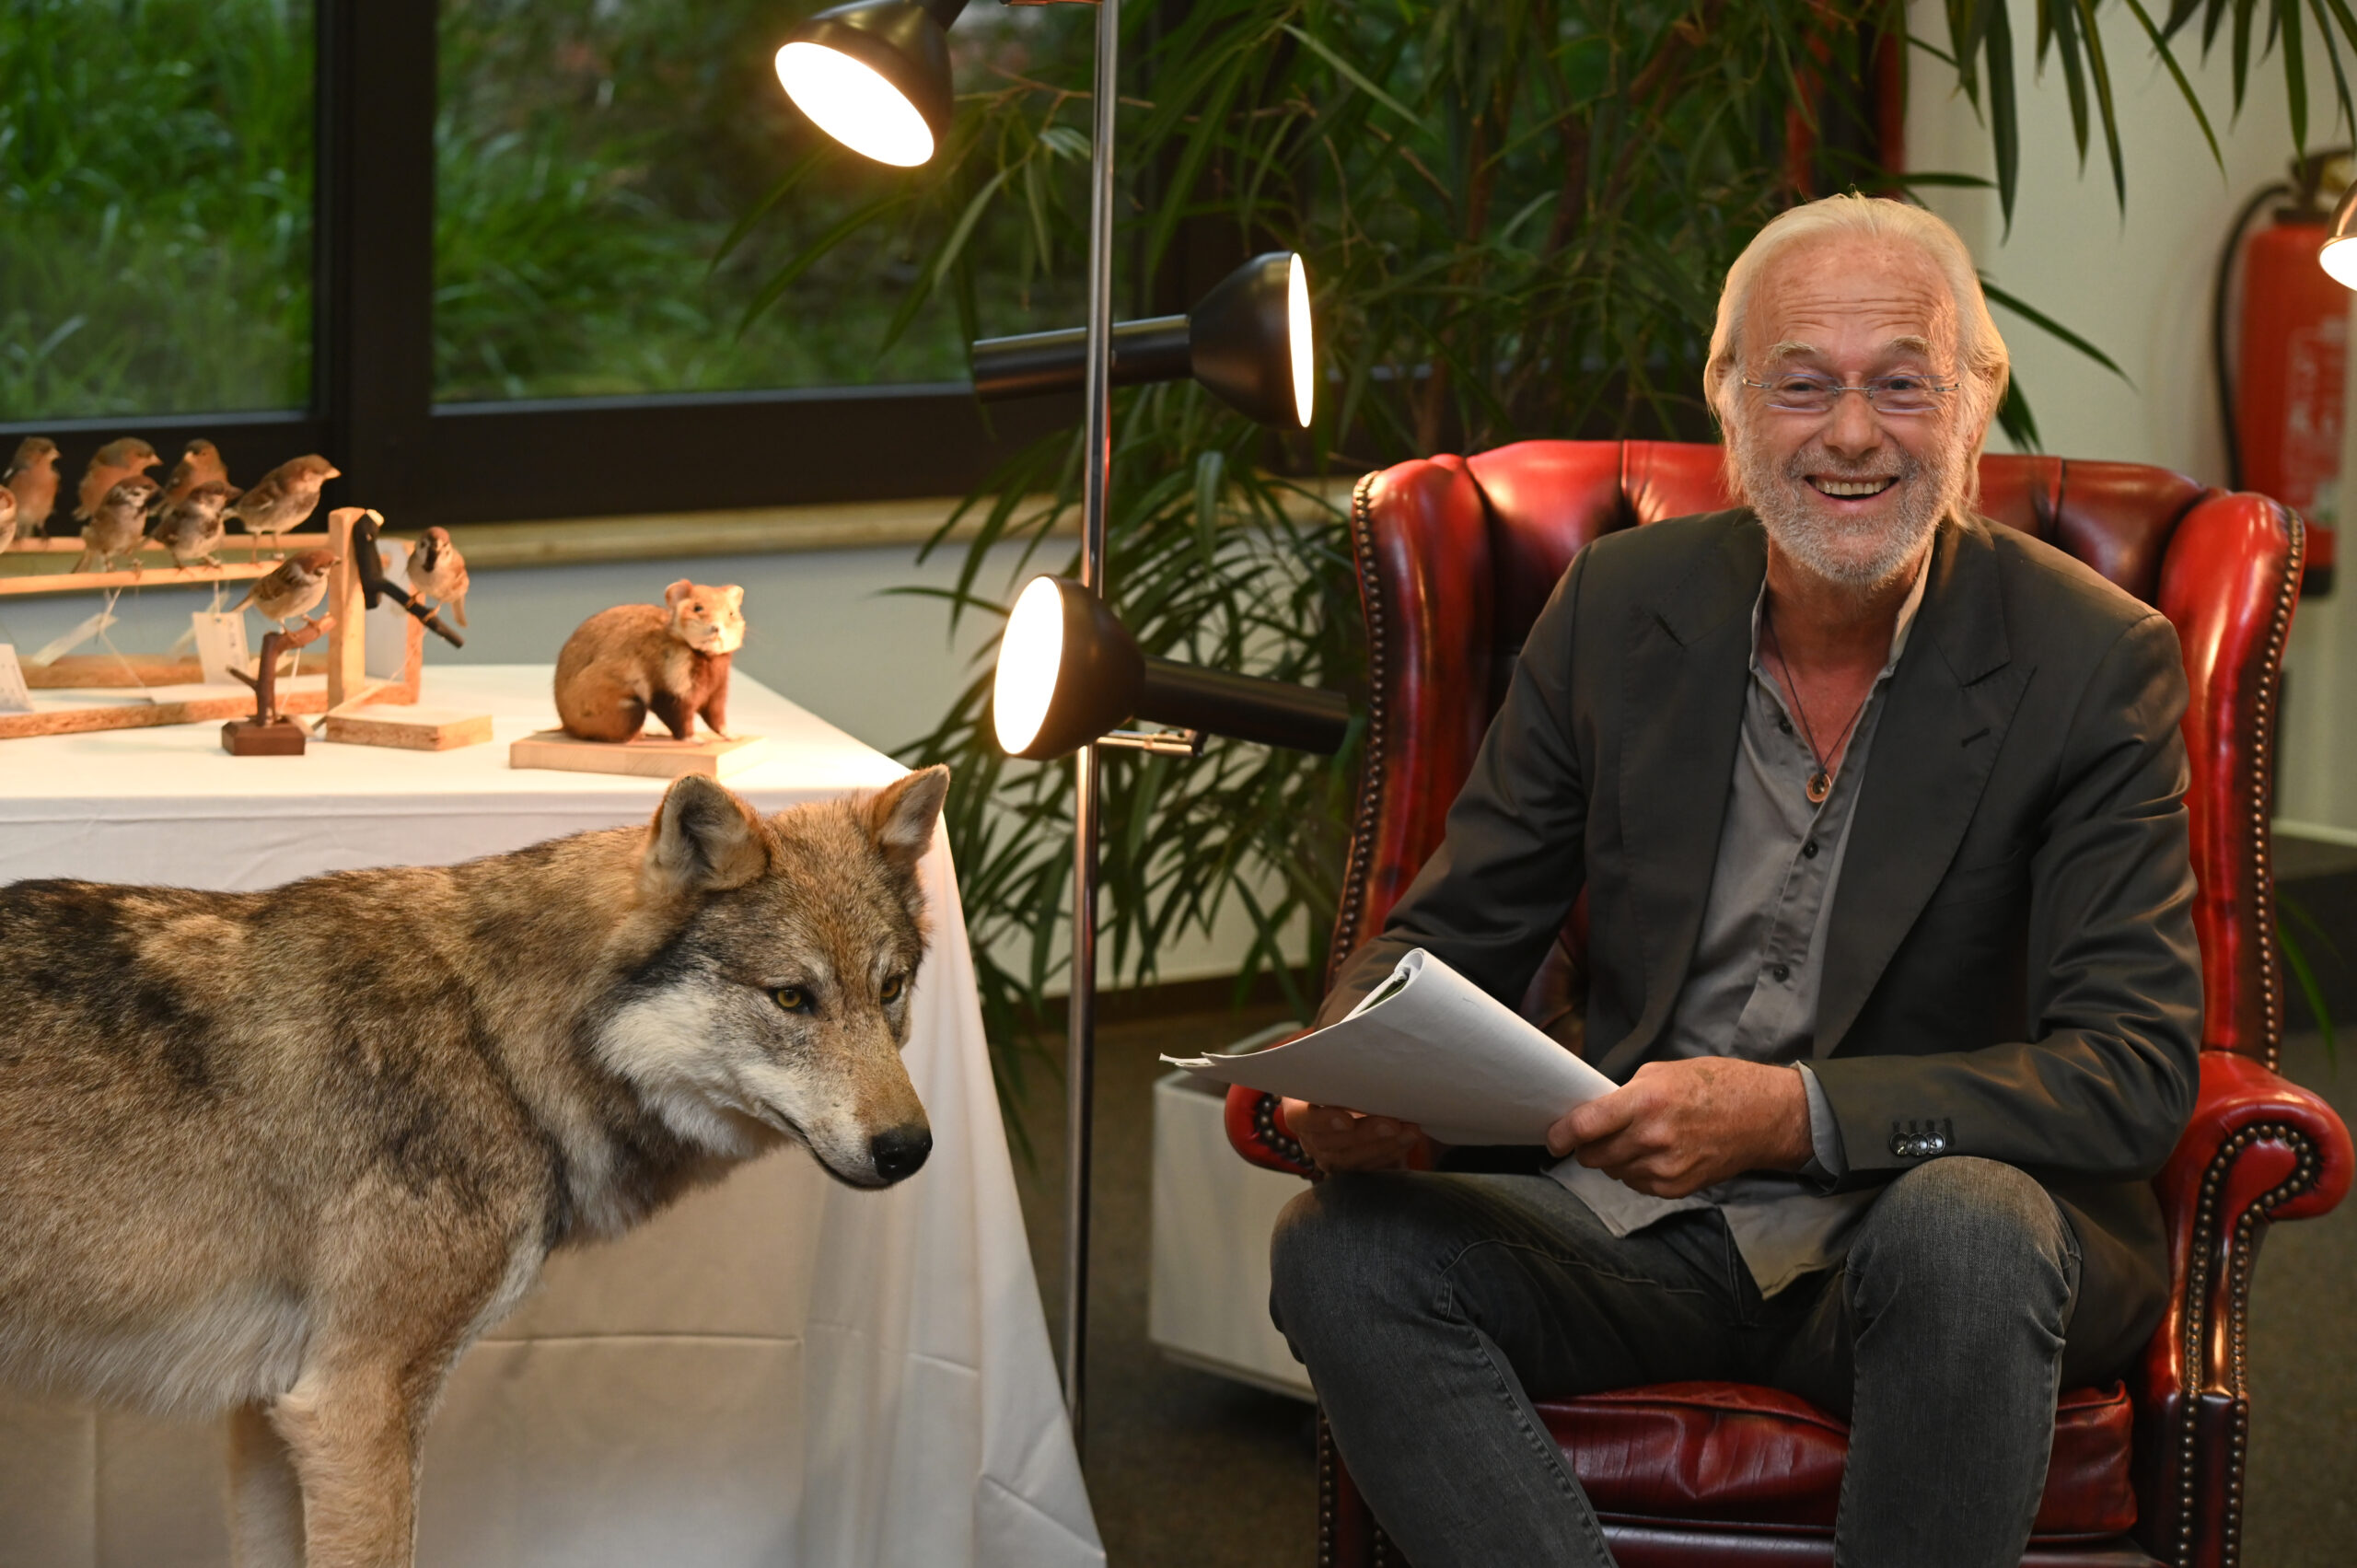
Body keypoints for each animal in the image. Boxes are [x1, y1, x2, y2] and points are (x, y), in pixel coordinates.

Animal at [0, 768, 947, 1565]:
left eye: (891, 988)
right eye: (791, 997)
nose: (910, 1148)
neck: (495, 1040)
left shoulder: (273, 1408)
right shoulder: (352, 1410)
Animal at [553, 577, 744, 745]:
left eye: (732, 613)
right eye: (697, 607)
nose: (716, 627)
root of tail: (566, 725)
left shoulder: (716, 694)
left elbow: (717, 720)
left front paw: (732, 735)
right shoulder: (669, 694)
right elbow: (681, 722)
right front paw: (696, 739)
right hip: (632, 709)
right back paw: (636, 737)